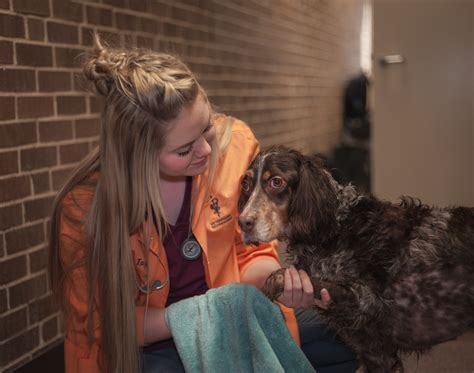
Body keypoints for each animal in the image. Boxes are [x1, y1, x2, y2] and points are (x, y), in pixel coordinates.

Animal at [237, 145, 474, 372]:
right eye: (246, 184)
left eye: (276, 182)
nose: (243, 223)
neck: (334, 229)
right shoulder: (372, 350)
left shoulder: (366, 307)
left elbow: (279, 276)